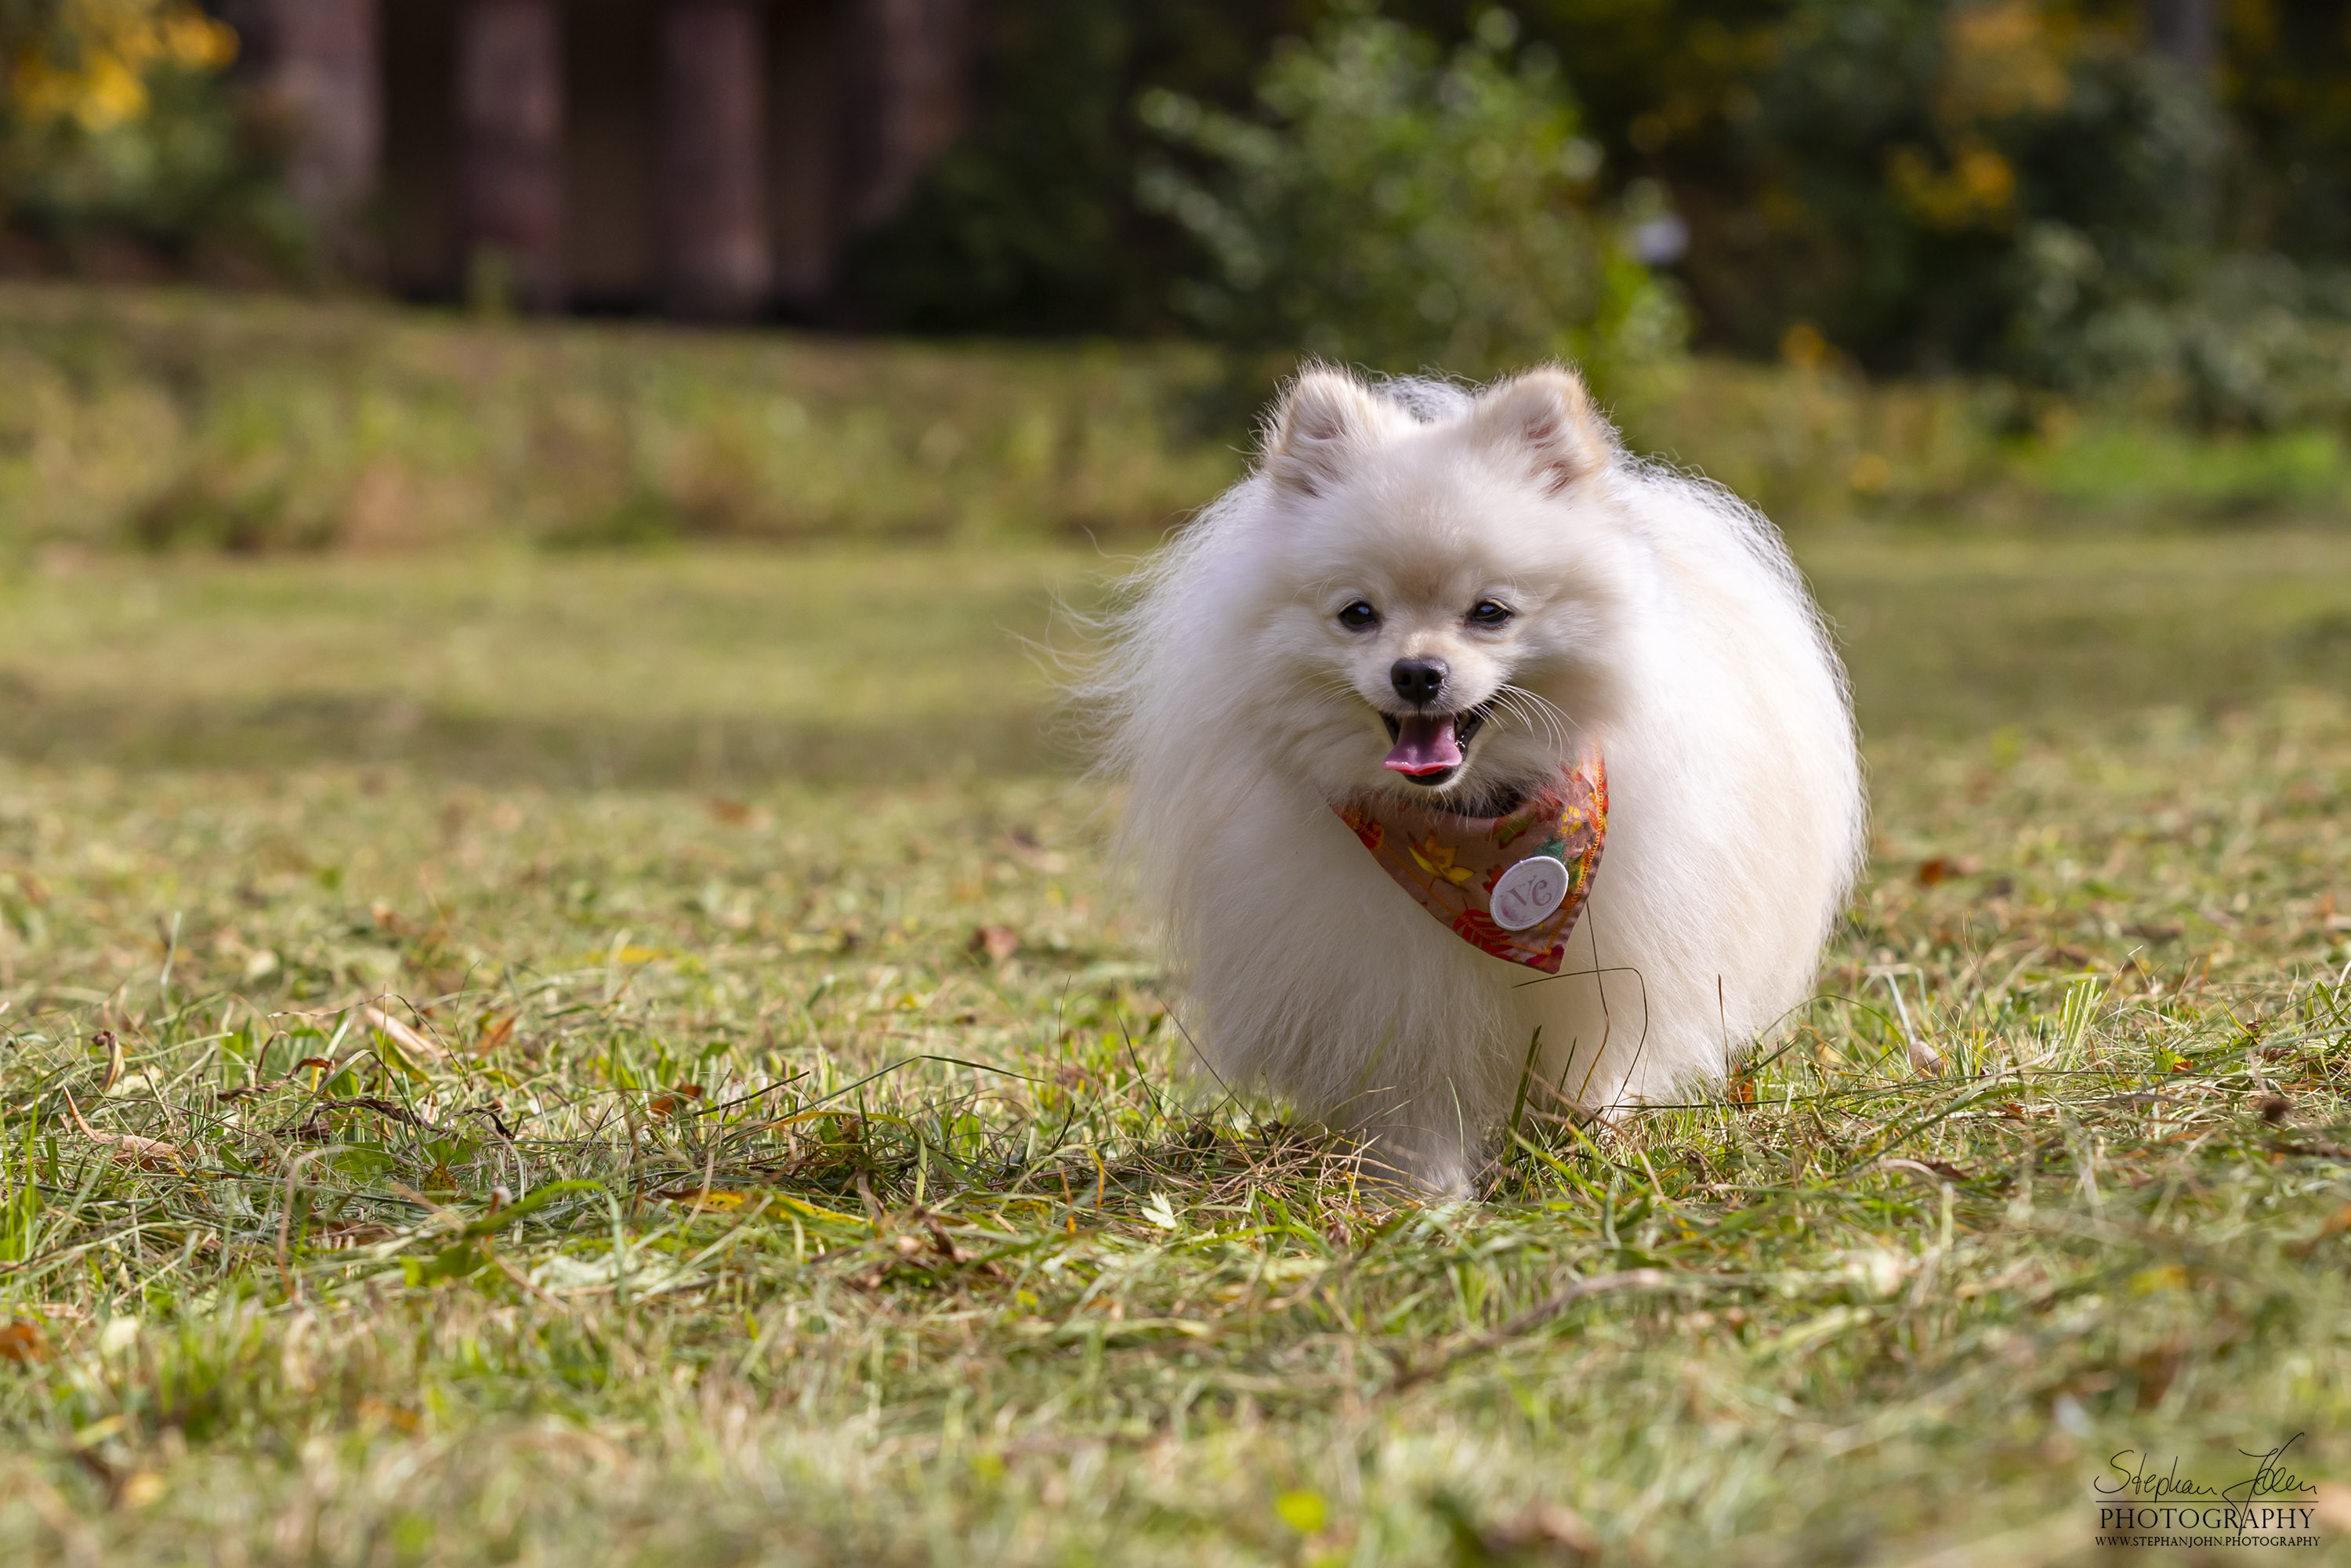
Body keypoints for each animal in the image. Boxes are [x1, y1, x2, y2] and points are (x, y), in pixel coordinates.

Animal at [1086, 364, 1871, 1190]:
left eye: (1489, 612)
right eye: (1358, 613)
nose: (1417, 672)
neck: (1468, 831)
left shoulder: (1603, 972)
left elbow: (1590, 1069)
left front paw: (1582, 1154)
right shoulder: (1388, 990)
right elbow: (1417, 1101)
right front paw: (1417, 1195)